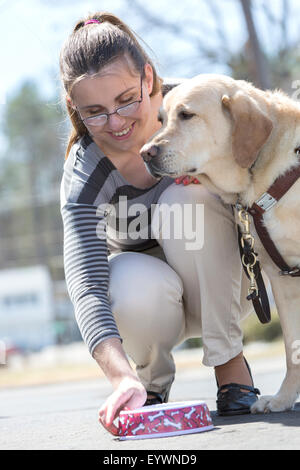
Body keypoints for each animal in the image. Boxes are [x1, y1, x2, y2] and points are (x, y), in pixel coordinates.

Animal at [141, 71, 300, 414]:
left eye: (186, 115)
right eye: (160, 119)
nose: (144, 153)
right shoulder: (283, 280)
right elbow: (292, 348)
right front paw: (282, 399)